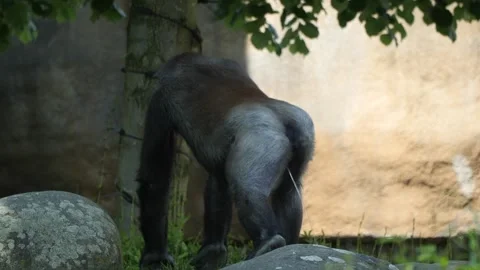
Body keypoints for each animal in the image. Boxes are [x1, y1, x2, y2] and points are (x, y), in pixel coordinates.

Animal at [135, 52, 316, 270]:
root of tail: (283, 117)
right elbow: (218, 184)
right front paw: (213, 252)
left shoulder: (159, 99)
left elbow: (155, 179)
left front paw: (155, 257)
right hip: (303, 130)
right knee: (287, 191)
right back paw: (286, 246)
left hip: (261, 137)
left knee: (247, 187)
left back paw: (269, 241)